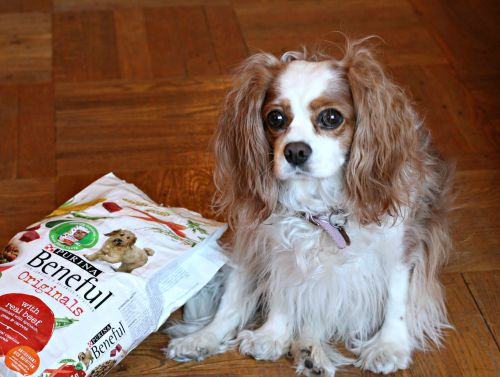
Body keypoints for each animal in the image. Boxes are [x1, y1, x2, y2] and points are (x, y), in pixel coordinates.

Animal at [165, 36, 454, 374]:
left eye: (331, 117)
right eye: (275, 118)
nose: (295, 151)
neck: (324, 211)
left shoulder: (400, 244)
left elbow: (397, 298)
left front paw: (389, 345)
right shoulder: (275, 244)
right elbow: (283, 290)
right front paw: (272, 335)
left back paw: (309, 352)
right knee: (232, 303)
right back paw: (205, 338)